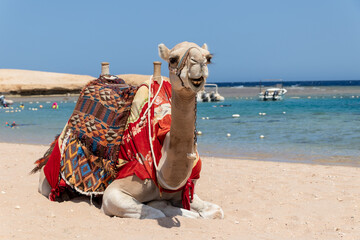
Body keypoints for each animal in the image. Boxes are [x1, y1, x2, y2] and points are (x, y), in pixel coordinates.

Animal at [35, 41, 222, 219]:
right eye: (173, 59)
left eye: (208, 58)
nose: (199, 64)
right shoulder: (120, 188)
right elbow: (158, 211)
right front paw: (166, 207)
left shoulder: (186, 190)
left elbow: (217, 211)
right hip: (48, 180)